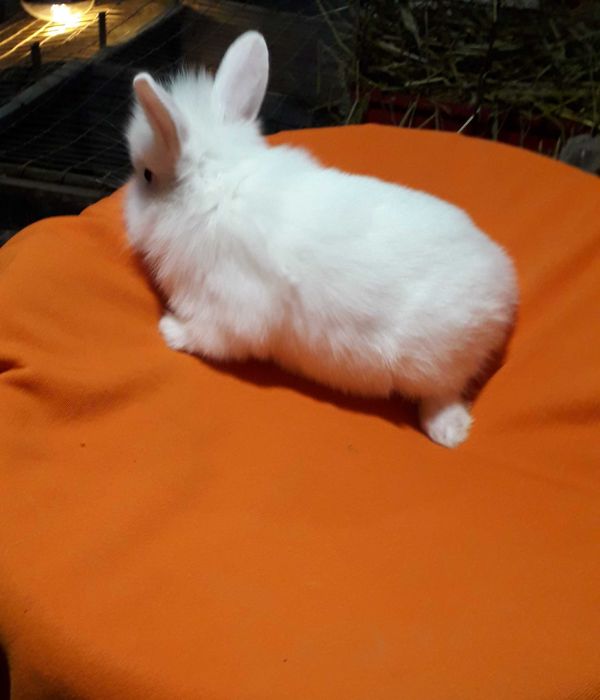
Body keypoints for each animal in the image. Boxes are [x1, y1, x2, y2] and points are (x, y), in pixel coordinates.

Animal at [123, 31, 518, 448]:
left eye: (146, 175)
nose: (125, 213)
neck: (214, 191)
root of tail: (506, 293)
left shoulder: (230, 309)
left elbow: (210, 337)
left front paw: (170, 329)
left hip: (431, 363)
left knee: (442, 395)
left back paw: (448, 434)